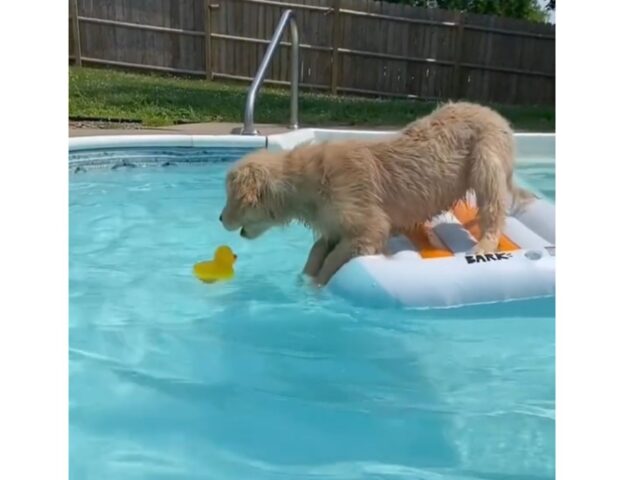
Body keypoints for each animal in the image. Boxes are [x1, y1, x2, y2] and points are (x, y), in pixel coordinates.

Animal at [219, 101, 532, 284]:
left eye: (232, 197)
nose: (220, 218)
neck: (307, 180)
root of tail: (491, 111)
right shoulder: (334, 225)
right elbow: (317, 250)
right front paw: (304, 280)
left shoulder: (368, 227)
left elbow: (334, 259)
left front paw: (317, 287)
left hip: (485, 158)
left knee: (493, 208)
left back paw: (484, 245)